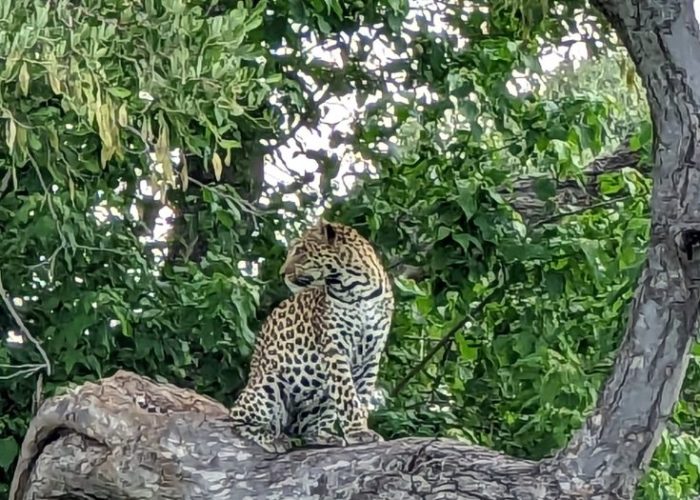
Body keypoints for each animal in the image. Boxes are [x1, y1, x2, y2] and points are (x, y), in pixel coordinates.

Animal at [228, 219, 394, 453]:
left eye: (300, 252)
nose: (282, 273)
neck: (357, 288)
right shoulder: (335, 347)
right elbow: (347, 393)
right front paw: (357, 432)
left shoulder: (372, 354)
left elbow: (359, 394)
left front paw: (359, 429)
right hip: (269, 383)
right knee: (237, 418)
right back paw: (272, 437)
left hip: (321, 396)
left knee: (304, 429)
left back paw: (322, 436)